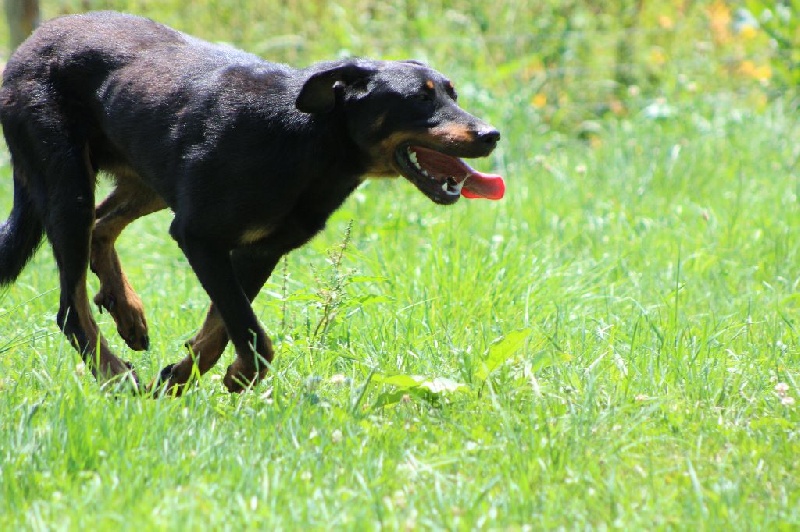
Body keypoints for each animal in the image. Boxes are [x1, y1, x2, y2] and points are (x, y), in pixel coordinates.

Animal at [0, 11, 500, 394]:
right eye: (419, 99)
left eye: (453, 93)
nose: (491, 134)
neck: (309, 140)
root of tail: (26, 46)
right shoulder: (198, 235)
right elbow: (248, 329)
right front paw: (228, 376)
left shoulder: (262, 248)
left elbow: (224, 326)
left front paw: (180, 376)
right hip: (67, 184)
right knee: (71, 308)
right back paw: (117, 376)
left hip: (146, 176)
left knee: (102, 226)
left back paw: (128, 312)